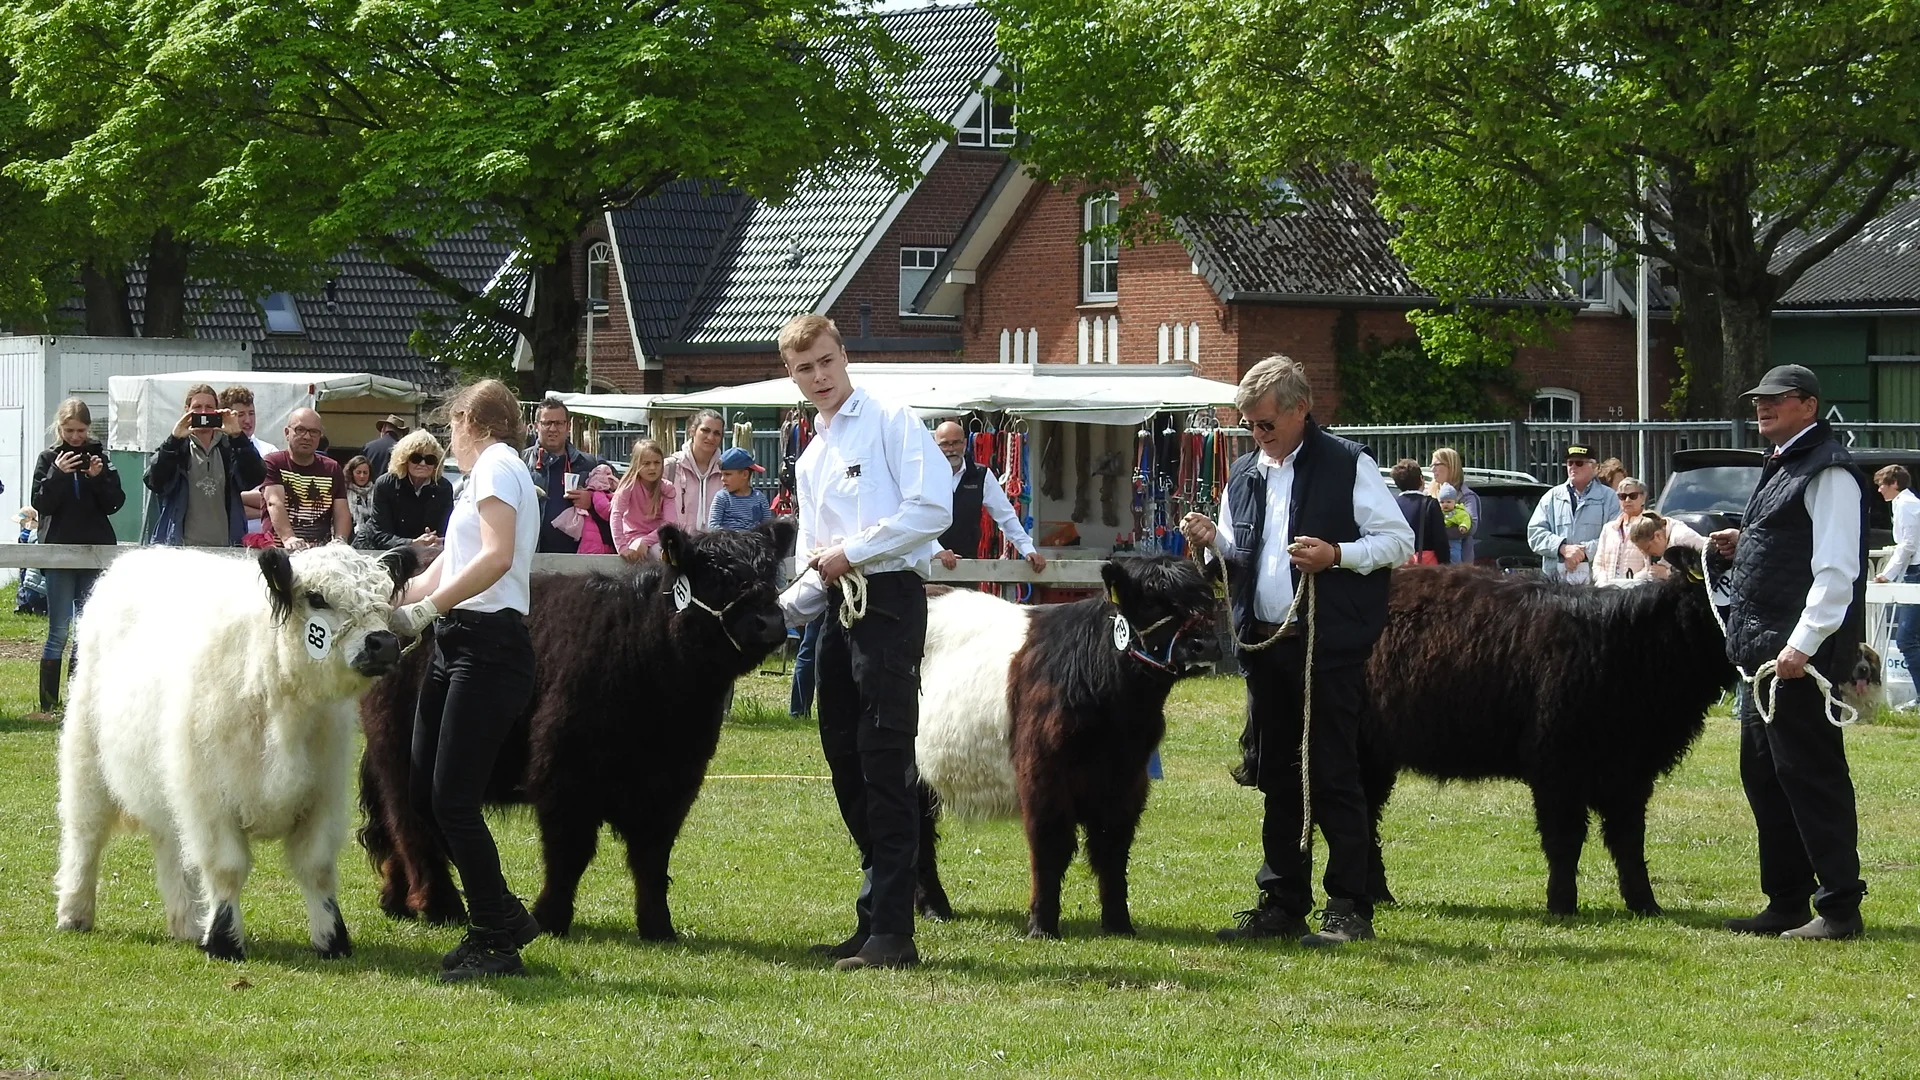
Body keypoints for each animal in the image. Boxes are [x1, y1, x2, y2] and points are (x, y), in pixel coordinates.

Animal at [55, 541, 412, 953]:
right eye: (317, 597)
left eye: (384, 596)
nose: (384, 643)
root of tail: (142, 555)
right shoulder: (211, 800)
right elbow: (226, 868)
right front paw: (223, 940)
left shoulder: (323, 795)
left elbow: (317, 867)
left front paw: (332, 939)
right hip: (86, 759)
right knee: (85, 836)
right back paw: (74, 912)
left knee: (170, 845)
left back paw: (186, 923)